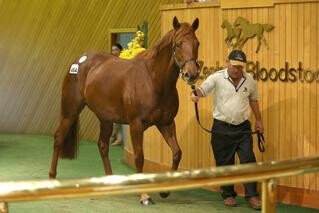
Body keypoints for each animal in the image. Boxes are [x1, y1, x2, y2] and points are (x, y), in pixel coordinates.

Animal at [48, 16, 200, 203]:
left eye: (197, 43)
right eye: (178, 44)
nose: (191, 74)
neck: (153, 79)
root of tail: (79, 61)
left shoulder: (166, 123)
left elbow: (177, 152)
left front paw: (165, 190)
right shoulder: (136, 125)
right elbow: (139, 157)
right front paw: (144, 195)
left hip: (105, 117)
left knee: (102, 145)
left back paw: (111, 182)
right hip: (70, 111)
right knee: (59, 138)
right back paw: (52, 178)